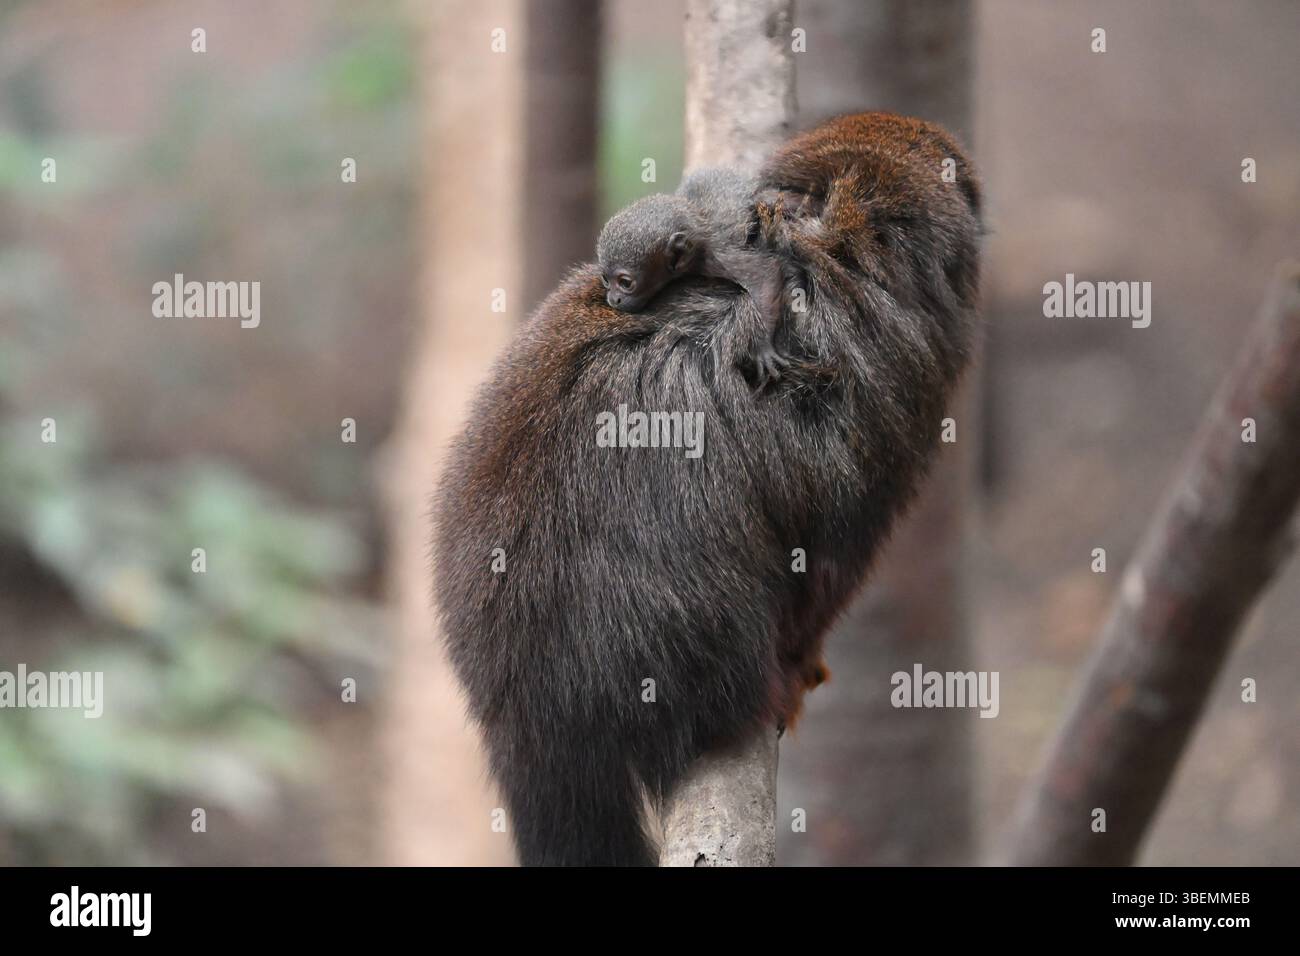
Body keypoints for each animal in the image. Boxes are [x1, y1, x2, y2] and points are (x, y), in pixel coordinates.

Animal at [596, 167, 794, 390]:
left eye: (625, 283)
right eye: (606, 280)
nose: (613, 299)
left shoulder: (717, 256)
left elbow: (765, 276)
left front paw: (762, 346)